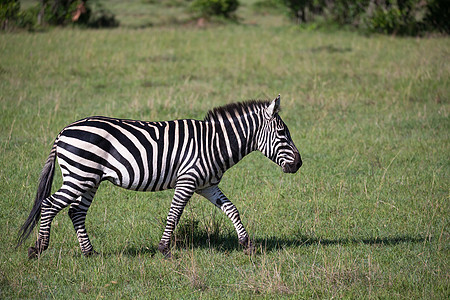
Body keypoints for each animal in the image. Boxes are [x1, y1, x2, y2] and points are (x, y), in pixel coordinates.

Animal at [16, 95, 302, 258]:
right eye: (282, 134)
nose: (299, 164)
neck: (213, 143)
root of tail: (63, 130)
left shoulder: (206, 185)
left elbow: (232, 209)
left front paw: (247, 245)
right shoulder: (188, 180)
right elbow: (174, 214)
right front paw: (164, 250)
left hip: (89, 179)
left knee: (75, 212)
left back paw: (90, 253)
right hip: (80, 175)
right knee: (49, 205)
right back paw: (38, 249)